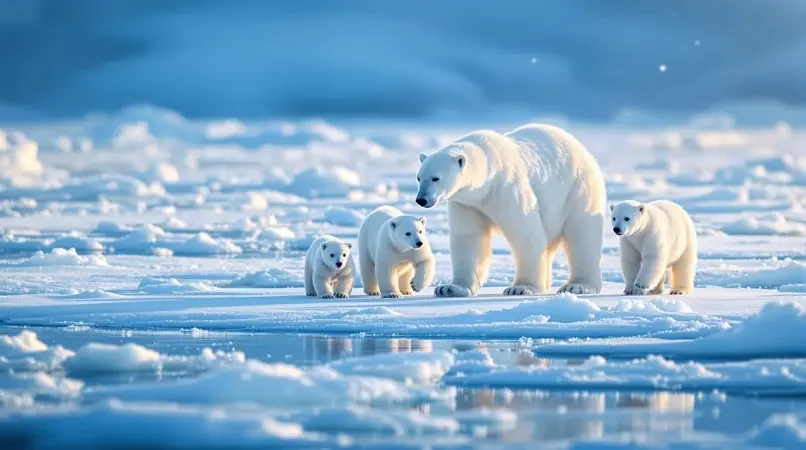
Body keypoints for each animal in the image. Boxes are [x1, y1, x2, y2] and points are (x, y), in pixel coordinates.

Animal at [415, 123, 606, 297]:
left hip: (579, 189)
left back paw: (578, 285)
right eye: (419, 177)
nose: (421, 199)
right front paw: (450, 288)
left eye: (435, 178)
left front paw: (520, 288)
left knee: (582, 236)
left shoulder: (506, 188)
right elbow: (468, 237)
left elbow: (525, 232)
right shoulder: (467, 204)